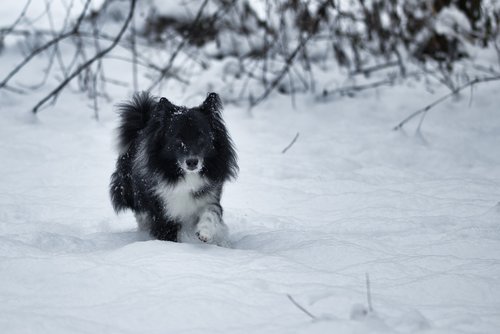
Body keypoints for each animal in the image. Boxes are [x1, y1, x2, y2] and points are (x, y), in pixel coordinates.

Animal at [110, 92, 239, 245]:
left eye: (201, 138)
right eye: (178, 140)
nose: (192, 162)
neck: (186, 176)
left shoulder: (209, 195)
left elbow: (211, 212)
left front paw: (205, 233)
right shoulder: (164, 212)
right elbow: (167, 233)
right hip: (131, 190)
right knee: (140, 212)